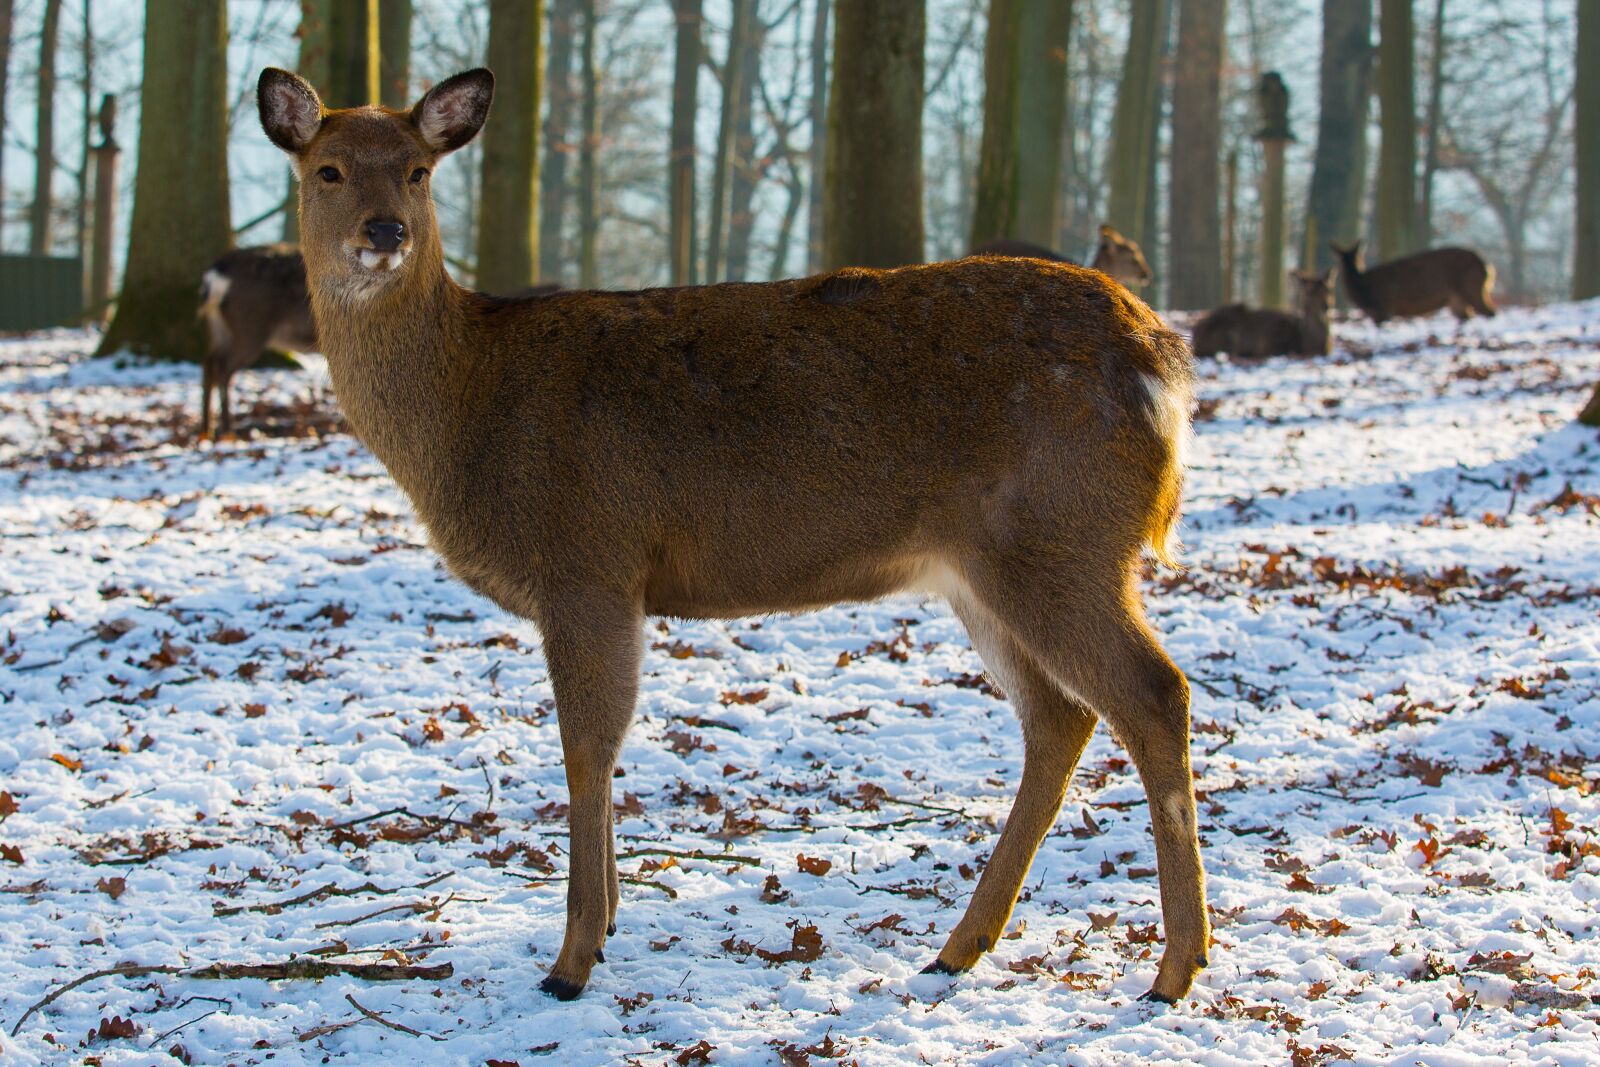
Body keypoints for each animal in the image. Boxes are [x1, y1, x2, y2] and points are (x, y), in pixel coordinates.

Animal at [196, 245, 319, 437]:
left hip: (219, 327)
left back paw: (206, 430)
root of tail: (213, 276)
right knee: (223, 366)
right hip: (250, 326)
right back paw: (227, 431)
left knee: (209, 362)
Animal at [257, 66, 1208, 1005]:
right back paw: (961, 946)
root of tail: (1163, 362)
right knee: (1060, 715)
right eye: (327, 170)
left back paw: (1174, 969)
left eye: (419, 171)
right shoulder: (613, 583)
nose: (386, 231)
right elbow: (606, 747)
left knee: (1153, 693)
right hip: (986, 566)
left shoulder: (588, 561)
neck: (468, 408)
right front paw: (608, 925)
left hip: (1061, 534)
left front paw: (572, 960)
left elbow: (585, 749)